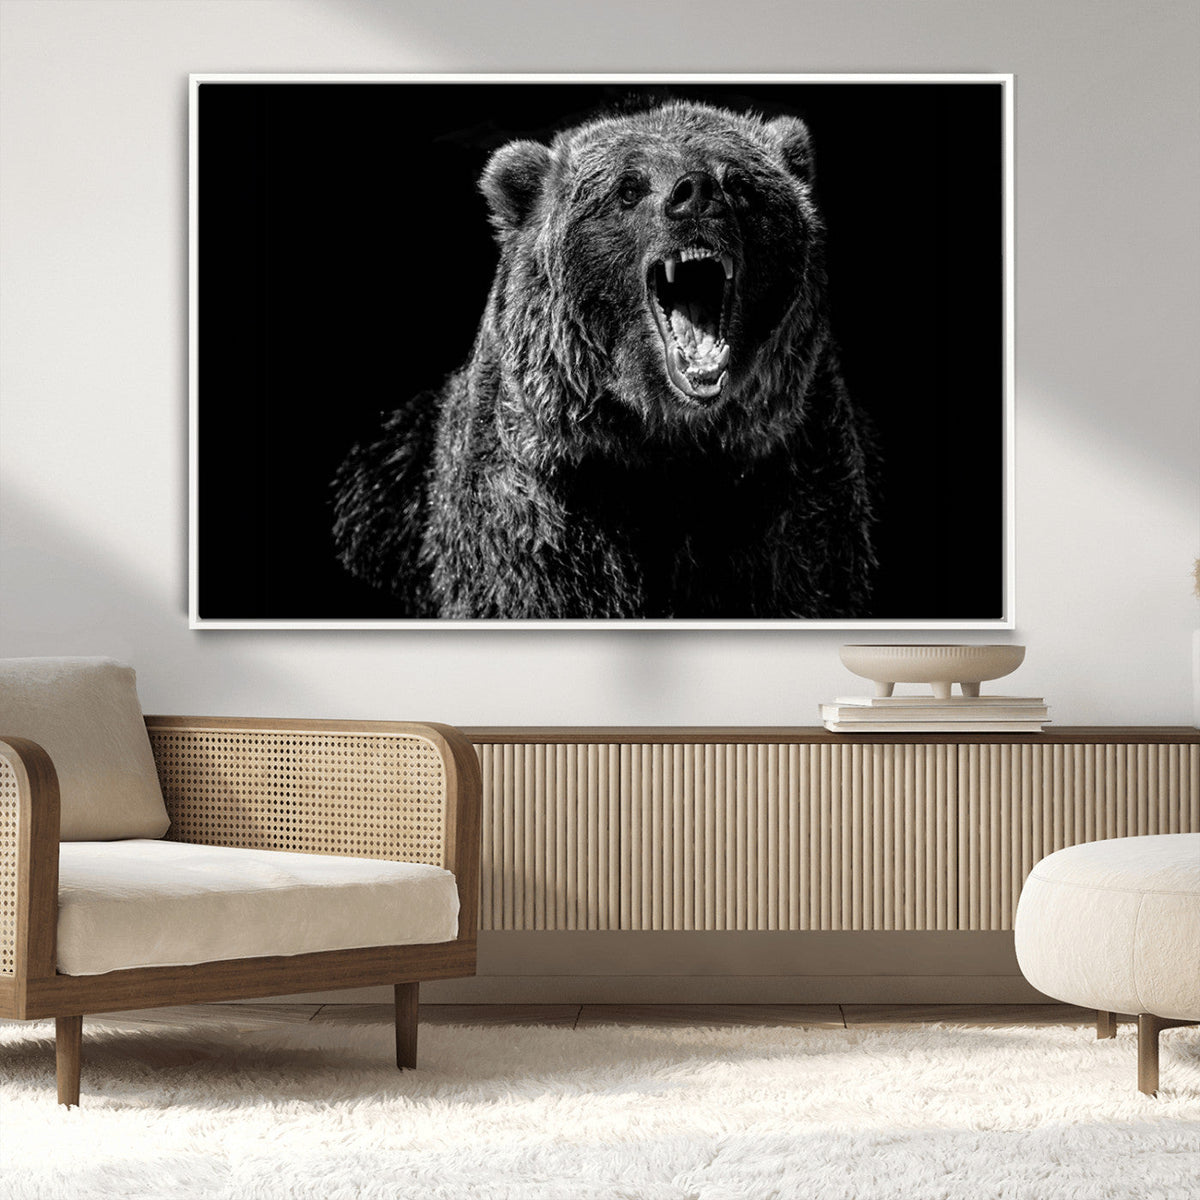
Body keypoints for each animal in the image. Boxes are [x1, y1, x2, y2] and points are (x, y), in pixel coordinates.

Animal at [332, 100, 877, 619]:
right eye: (628, 188)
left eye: (739, 182)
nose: (696, 193)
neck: (664, 439)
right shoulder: (547, 509)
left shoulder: (785, 488)